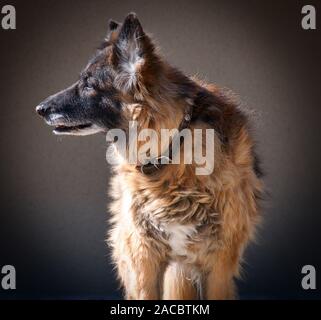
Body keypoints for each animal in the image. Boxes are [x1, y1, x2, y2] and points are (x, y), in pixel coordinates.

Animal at [37, 13, 262, 300]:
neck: (172, 151)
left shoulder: (219, 262)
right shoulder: (142, 257)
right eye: (81, 80)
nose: (39, 109)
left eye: (88, 84)